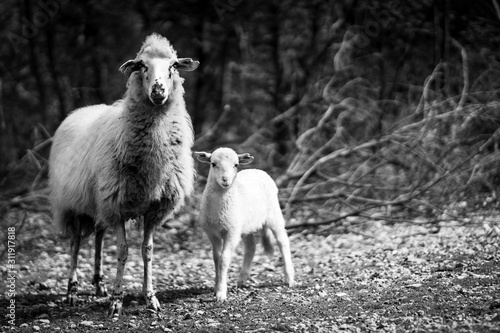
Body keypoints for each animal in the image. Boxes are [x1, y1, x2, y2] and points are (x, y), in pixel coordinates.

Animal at [49, 33, 199, 316]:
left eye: (173, 66)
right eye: (141, 65)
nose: (159, 91)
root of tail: (82, 109)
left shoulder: (153, 207)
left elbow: (147, 251)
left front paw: (150, 298)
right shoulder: (116, 204)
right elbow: (122, 250)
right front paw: (117, 301)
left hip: (98, 201)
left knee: (98, 237)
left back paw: (99, 284)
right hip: (72, 204)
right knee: (75, 243)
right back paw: (72, 290)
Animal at [194, 147, 292, 300]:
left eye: (236, 165)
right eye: (213, 164)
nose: (225, 180)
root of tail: (257, 170)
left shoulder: (232, 232)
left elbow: (224, 259)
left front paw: (221, 293)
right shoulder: (212, 232)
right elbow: (216, 258)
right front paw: (216, 288)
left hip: (274, 214)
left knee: (283, 241)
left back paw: (289, 278)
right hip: (246, 226)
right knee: (251, 247)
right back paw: (242, 279)